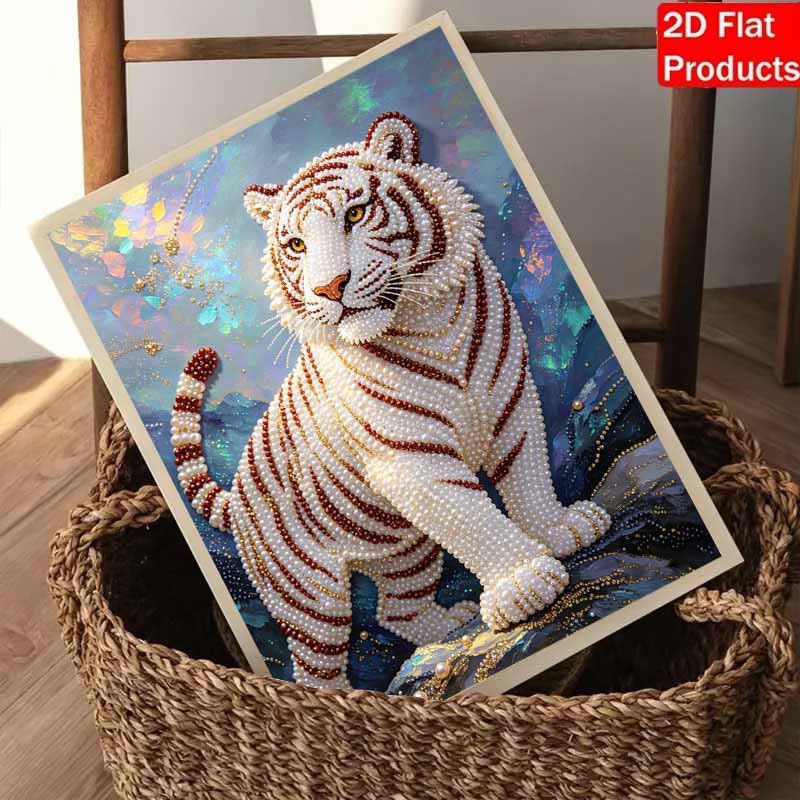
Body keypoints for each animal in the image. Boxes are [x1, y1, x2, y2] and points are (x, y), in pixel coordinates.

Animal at [171, 112, 611, 689]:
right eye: (296, 245)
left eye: (356, 214)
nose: (330, 288)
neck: (429, 322)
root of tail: (238, 492)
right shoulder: (413, 461)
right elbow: (474, 518)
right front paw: (525, 582)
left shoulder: (511, 405)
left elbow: (527, 478)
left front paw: (558, 531)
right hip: (310, 595)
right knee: (316, 665)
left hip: (406, 547)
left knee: (394, 611)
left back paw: (450, 625)